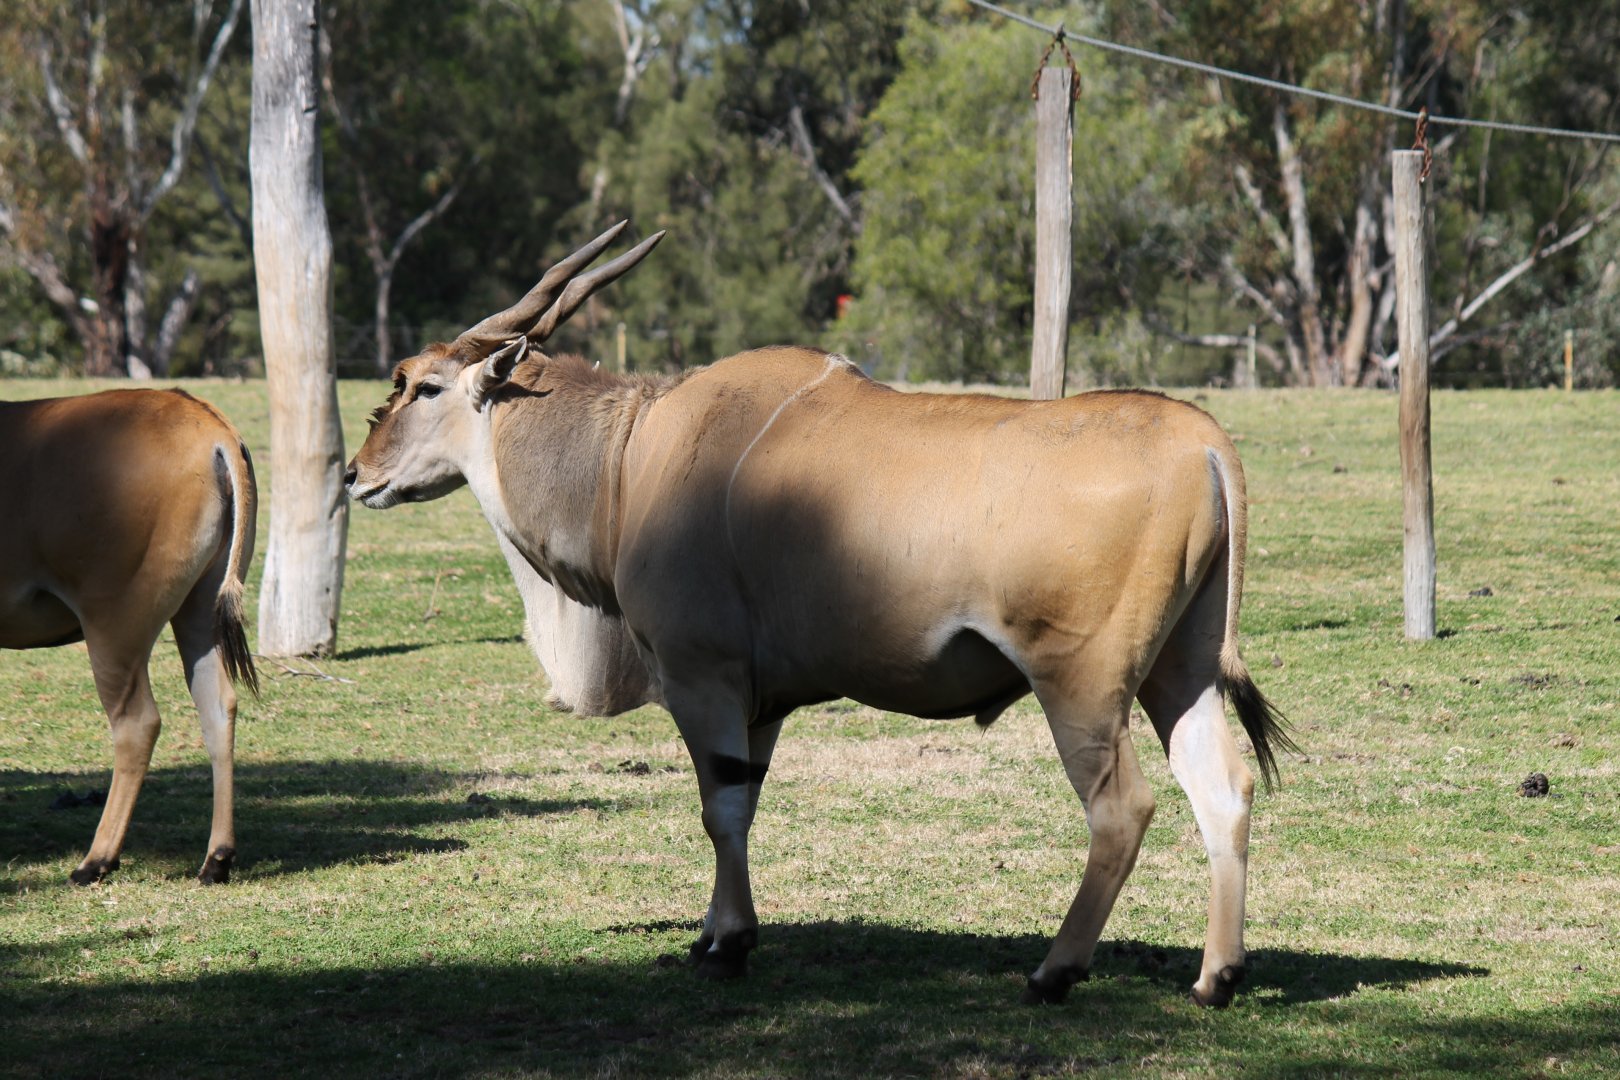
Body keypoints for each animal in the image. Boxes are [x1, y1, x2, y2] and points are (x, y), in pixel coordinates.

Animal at [1, 388, 258, 885]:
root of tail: (211, 427)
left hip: (112, 630)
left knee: (138, 723)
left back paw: (96, 860)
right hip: (199, 615)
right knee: (218, 706)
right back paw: (216, 859)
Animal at [345, 222, 1294, 1007]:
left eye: (422, 387)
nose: (355, 475)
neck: (633, 455)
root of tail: (1204, 443)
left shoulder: (702, 676)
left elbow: (719, 807)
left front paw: (727, 946)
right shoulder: (758, 701)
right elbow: (745, 801)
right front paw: (718, 934)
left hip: (1082, 683)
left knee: (1123, 809)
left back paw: (1054, 972)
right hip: (1179, 673)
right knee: (1224, 789)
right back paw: (1216, 977)